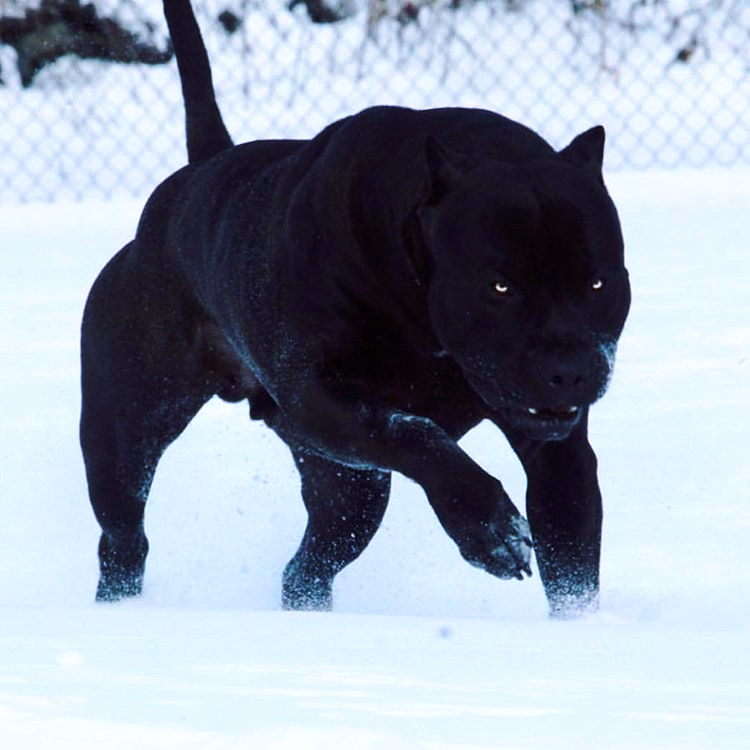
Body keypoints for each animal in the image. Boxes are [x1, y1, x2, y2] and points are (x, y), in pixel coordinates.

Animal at [79, 0, 632, 616]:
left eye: (599, 283)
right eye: (499, 287)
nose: (571, 370)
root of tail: (198, 176)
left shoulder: (560, 455)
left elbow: (573, 563)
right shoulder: (323, 398)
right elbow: (412, 433)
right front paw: (488, 528)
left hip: (346, 488)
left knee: (309, 565)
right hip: (127, 432)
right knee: (125, 536)